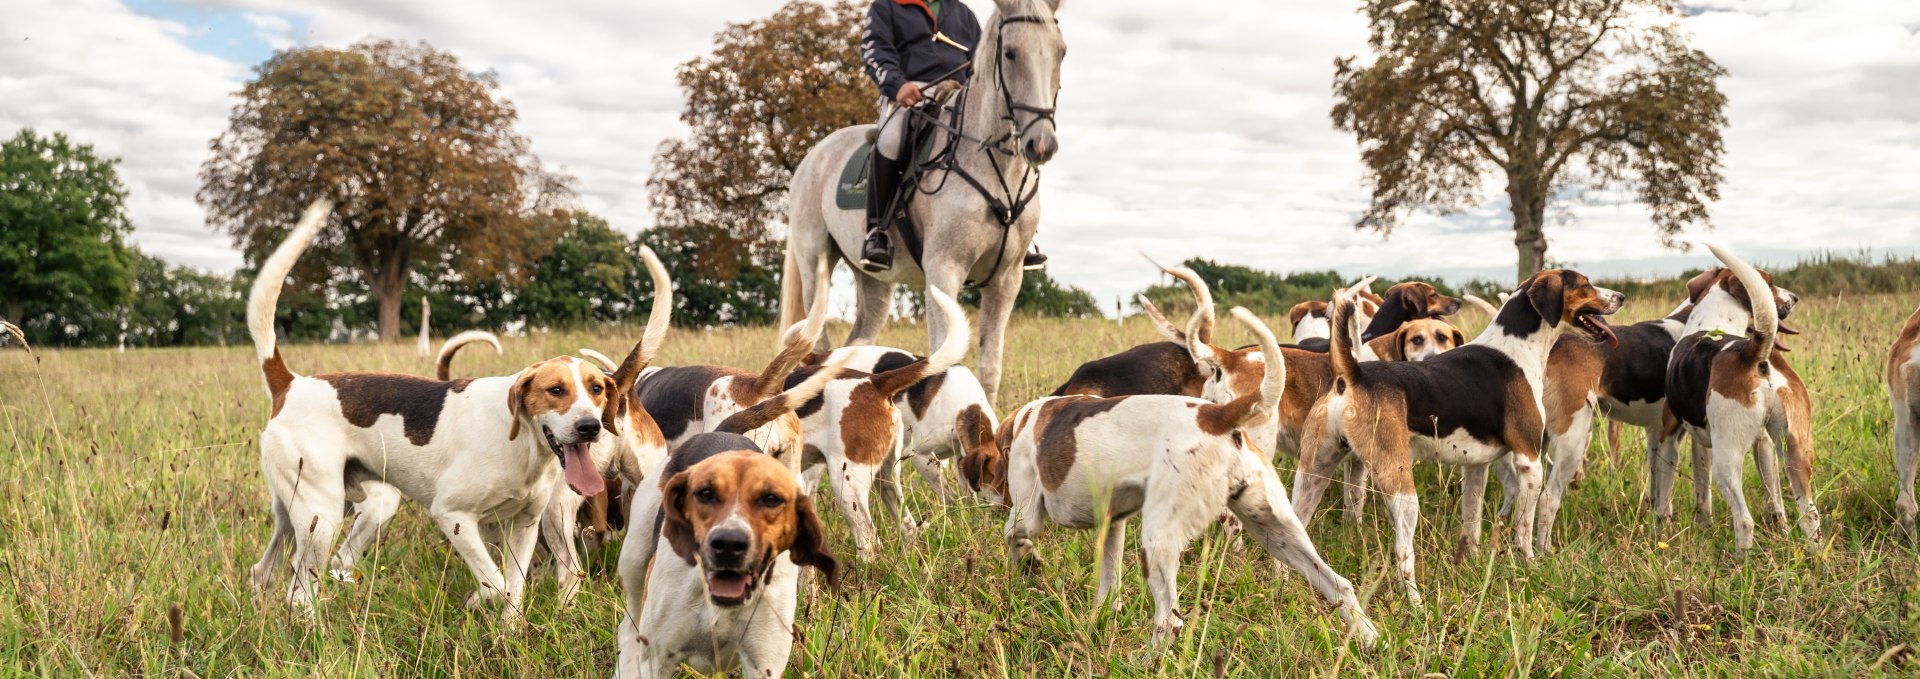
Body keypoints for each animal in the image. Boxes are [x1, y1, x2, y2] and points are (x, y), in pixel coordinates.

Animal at [787, 0, 1075, 402]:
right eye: (1010, 53)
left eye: (1060, 52)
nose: (1042, 144)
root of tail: (814, 154)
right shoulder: (944, 270)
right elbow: (943, 362)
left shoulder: (1007, 280)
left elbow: (990, 369)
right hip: (815, 262)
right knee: (818, 345)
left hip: (874, 284)